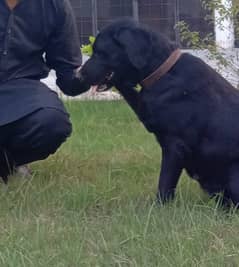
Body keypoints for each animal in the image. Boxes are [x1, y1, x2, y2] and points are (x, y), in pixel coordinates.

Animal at [79, 19, 239, 206]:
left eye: (99, 52)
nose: (79, 75)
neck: (163, 71)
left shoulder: (174, 145)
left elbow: (165, 182)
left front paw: (159, 206)